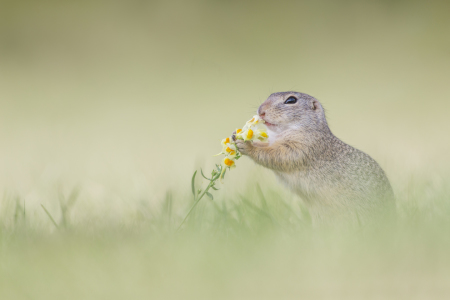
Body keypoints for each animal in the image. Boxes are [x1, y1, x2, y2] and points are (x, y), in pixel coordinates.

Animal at [234, 91, 396, 225]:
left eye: (291, 100)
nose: (261, 111)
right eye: (269, 95)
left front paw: (246, 145)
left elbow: (276, 155)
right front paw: (238, 136)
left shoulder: (303, 147)